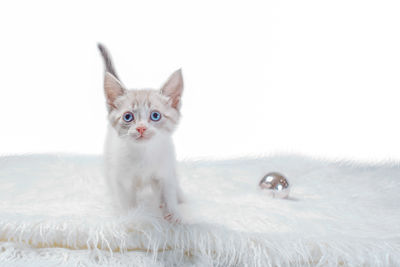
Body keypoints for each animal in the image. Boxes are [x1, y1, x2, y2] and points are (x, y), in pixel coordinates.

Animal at [97, 44, 185, 224]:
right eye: (128, 117)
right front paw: (132, 218)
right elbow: (127, 201)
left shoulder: (164, 171)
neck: (143, 153)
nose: (141, 128)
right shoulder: (121, 179)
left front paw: (173, 215)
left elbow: (168, 191)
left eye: (155, 115)